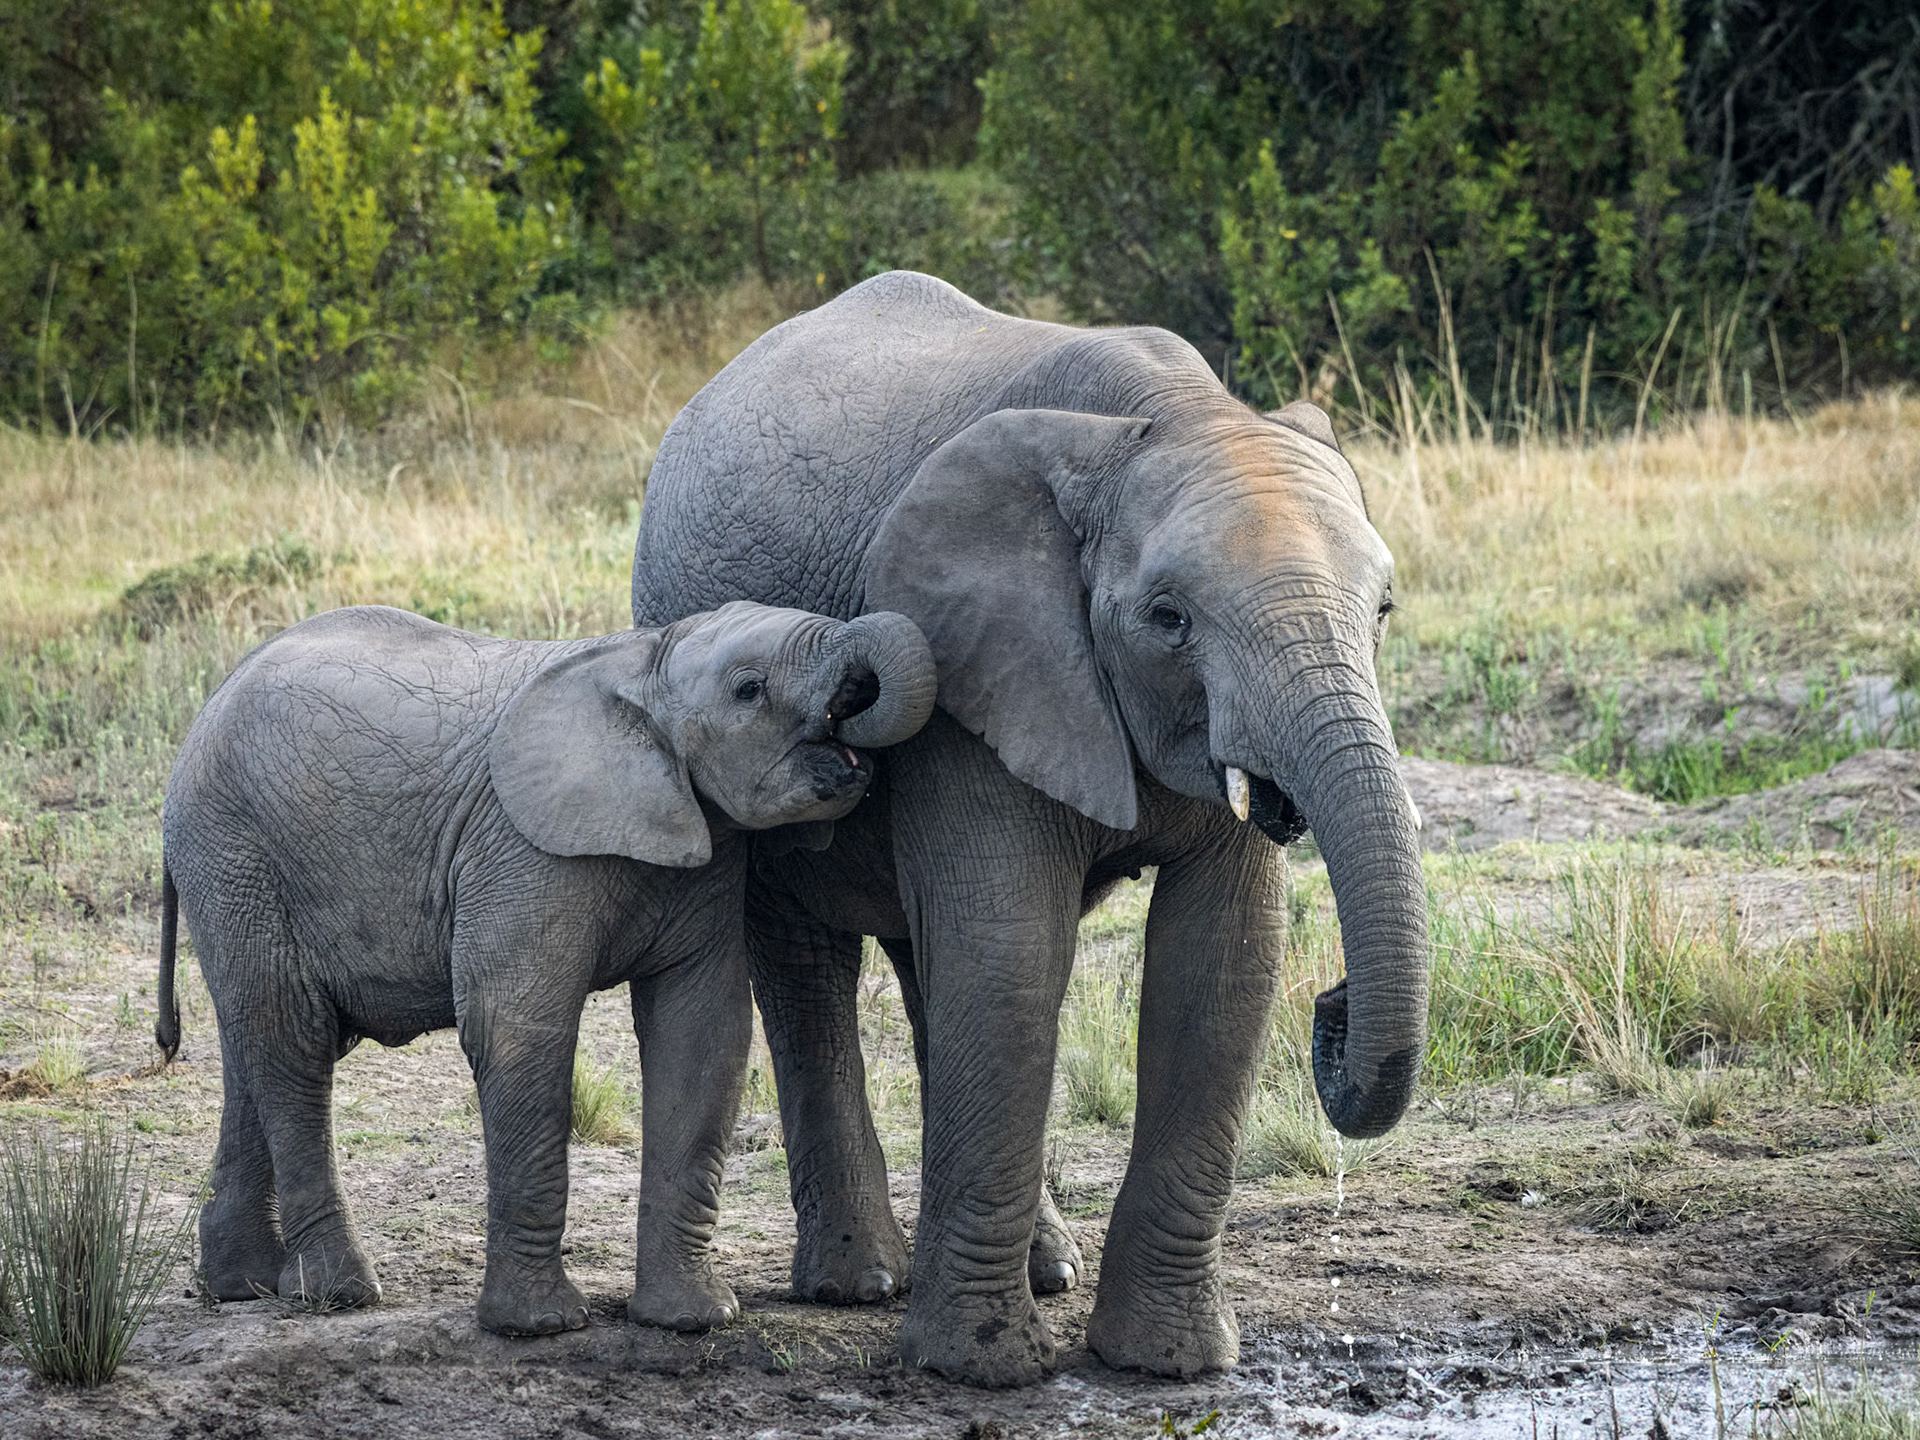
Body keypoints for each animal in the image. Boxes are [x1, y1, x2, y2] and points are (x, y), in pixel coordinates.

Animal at [155, 600, 935, 1337]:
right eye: (749, 689)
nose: (857, 705)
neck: (645, 662)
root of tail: (204, 714)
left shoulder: (706, 856)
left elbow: (702, 1035)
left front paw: (694, 1319)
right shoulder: (521, 849)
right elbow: (515, 1027)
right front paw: (539, 1327)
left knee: (259, 1043)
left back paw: (242, 1285)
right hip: (234, 851)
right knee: (293, 1040)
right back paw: (339, 1293)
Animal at [629, 270, 1429, 1386]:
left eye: (1385, 610)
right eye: (1170, 619)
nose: (1338, 1007)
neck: (1155, 417)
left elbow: (1221, 959)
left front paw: (1168, 1364)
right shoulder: (977, 662)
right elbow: (1010, 948)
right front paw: (981, 1369)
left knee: (931, 966)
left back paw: (1043, 1268)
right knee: (812, 960)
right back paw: (861, 1282)